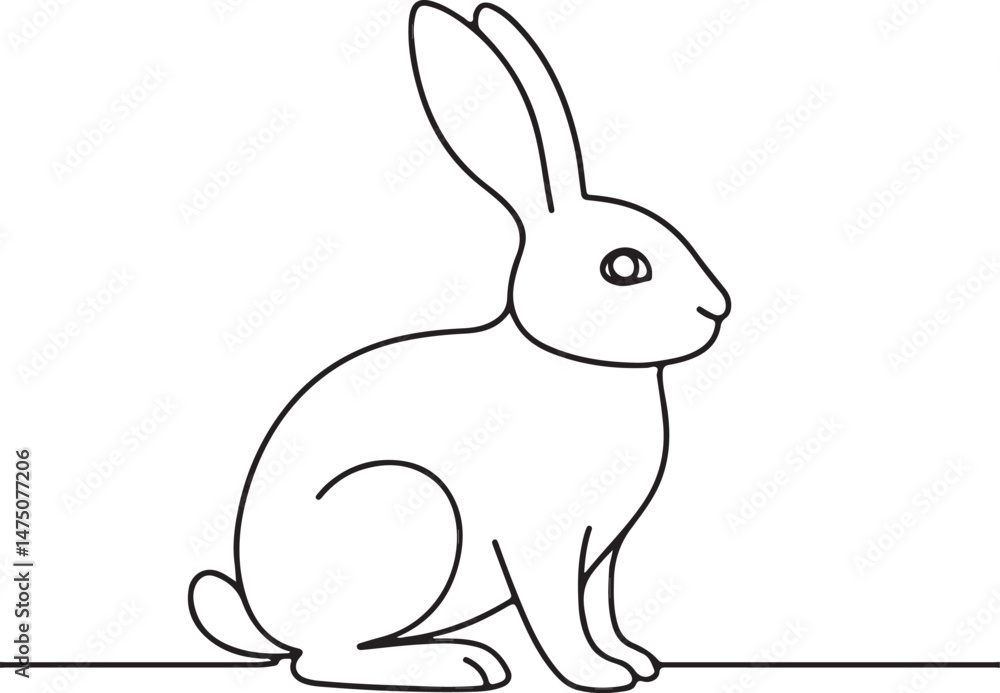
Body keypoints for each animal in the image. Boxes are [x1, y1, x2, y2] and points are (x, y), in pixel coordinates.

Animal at [190, 2, 730, 690]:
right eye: (625, 267)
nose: (717, 308)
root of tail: (265, 619)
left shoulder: (603, 552)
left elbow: (600, 609)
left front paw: (634, 661)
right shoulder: (544, 544)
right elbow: (559, 617)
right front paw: (594, 675)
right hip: (406, 514)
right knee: (323, 659)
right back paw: (463, 664)